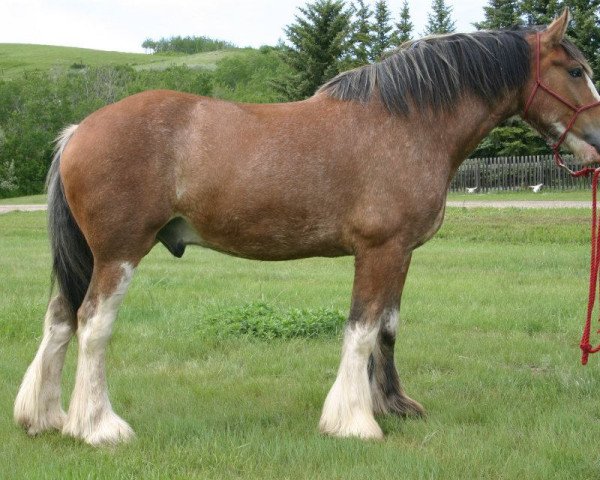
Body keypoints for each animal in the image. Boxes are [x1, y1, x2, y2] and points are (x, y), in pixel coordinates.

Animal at [12, 10, 600, 446]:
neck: (408, 123)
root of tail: (78, 130)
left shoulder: (401, 252)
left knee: (59, 321)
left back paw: (46, 418)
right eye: (576, 71)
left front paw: (392, 405)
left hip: (89, 257)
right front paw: (355, 422)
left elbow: (386, 329)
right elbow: (361, 330)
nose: (598, 140)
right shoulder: (379, 250)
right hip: (119, 254)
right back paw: (99, 427)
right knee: (92, 324)